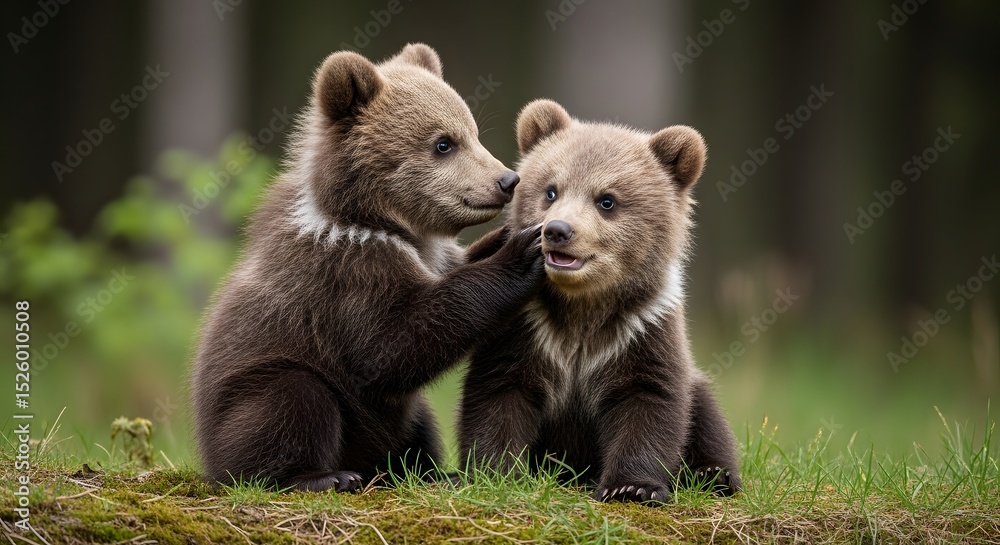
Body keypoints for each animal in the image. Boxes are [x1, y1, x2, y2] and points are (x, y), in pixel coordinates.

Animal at [191, 43, 544, 493]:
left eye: (473, 131)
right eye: (443, 143)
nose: (507, 180)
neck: (374, 219)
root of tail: (206, 453)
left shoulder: (426, 255)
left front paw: (503, 237)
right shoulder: (347, 271)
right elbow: (393, 344)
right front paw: (522, 252)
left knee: (418, 422)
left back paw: (428, 470)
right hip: (256, 385)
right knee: (292, 401)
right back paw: (322, 476)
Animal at [458, 99, 741, 503]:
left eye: (607, 200)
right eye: (551, 191)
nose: (558, 230)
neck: (583, 307)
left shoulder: (641, 327)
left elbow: (649, 398)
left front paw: (632, 486)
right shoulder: (527, 329)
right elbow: (499, 392)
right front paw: (495, 473)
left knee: (705, 409)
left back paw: (714, 473)